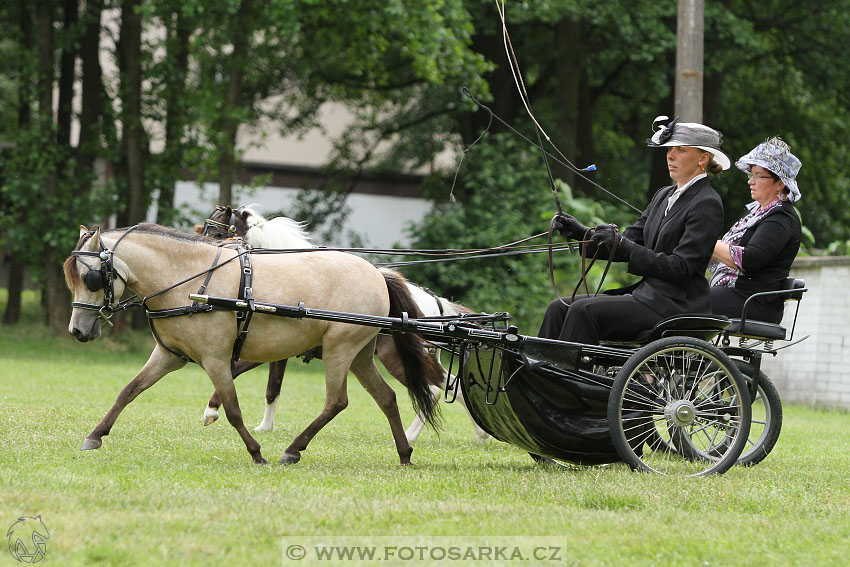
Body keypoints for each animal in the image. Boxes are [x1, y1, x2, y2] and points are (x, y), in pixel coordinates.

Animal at [62, 223, 440, 466]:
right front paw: (95, 435)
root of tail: (377, 273)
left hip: (340, 349)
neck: (188, 280)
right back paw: (404, 453)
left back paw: (293, 449)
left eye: (90, 277)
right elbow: (128, 391)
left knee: (337, 401)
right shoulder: (169, 355)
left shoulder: (216, 360)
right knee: (386, 397)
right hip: (361, 353)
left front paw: (257, 452)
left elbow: (232, 409)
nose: (77, 330)